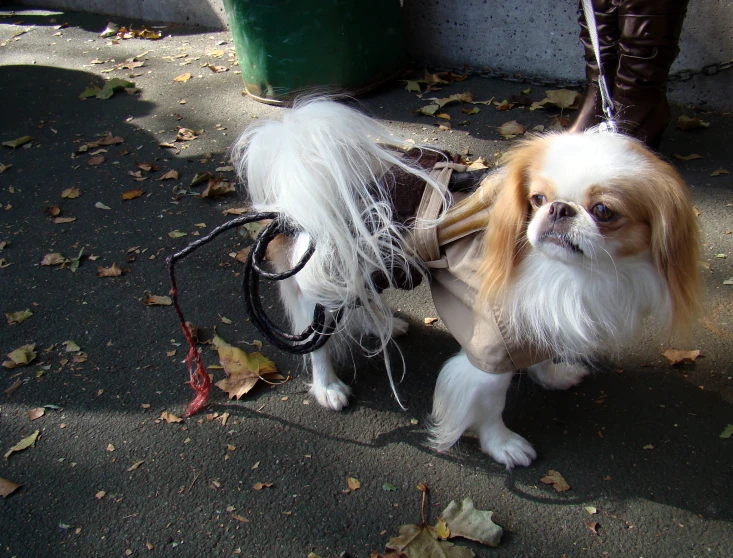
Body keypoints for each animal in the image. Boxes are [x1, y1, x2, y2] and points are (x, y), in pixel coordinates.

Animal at [232, 99, 700, 468]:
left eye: (604, 211)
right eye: (537, 200)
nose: (559, 209)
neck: (561, 272)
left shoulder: (534, 318)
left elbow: (541, 357)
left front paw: (553, 377)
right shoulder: (488, 343)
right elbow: (490, 404)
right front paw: (503, 445)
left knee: (363, 304)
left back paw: (384, 327)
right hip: (327, 283)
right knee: (318, 342)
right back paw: (328, 387)